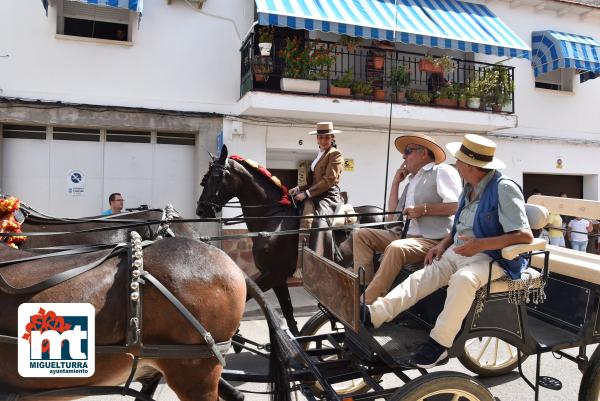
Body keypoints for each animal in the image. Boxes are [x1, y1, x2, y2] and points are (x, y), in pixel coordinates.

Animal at [197, 145, 384, 332]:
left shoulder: (274, 274)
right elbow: (288, 314)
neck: (274, 217)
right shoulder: (277, 278)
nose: (200, 209)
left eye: (215, 176)